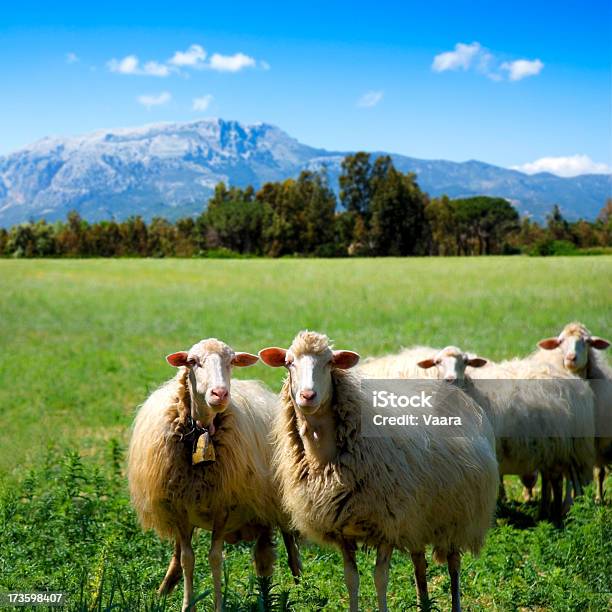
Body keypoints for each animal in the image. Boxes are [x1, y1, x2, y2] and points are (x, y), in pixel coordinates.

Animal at [128, 340, 302, 612]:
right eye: (192, 361)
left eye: (231, 361)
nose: (220, 394)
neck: (201, 432)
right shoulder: (180, 509)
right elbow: (187, 558)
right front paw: (186, 604)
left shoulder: (224, 506)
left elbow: (215, 558)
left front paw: (219, 604)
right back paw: (165, 588)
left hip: (273, 504)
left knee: (282, 550)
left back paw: (297, 588)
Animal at [258, 332, 498, 612]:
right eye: (289, 362)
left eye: (330, 362)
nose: (308, 396)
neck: (323, 457)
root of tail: (456, 394)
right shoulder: (343, 531)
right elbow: (351, 579)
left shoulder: (387, 525)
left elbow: (380, 578)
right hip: (419, 518)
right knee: (419, 563)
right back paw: (423, 603)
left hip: (457, 516)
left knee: (453, 566)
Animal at [418, 346, 596, 520]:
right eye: (437, 362)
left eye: (466, 362)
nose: (451, 379)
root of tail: (575, 381)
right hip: (553, 447)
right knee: (553, 478)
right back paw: (548, 512)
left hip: (571, 444)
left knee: (569, 477)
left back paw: (572, 509)